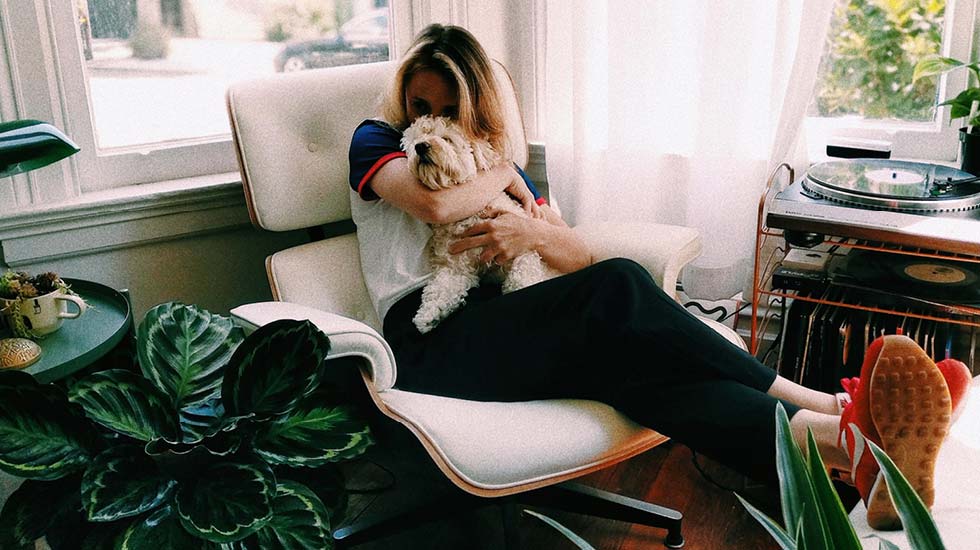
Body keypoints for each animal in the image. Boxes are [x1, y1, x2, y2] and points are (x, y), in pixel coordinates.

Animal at [400, 114, 556, 334]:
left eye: (447, 138)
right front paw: (428, 315)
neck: (468, 215)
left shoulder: (522, 246)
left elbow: (522, 277)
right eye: (415, 139)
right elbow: (441, 288)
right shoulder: (456, 267)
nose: (421, 146)